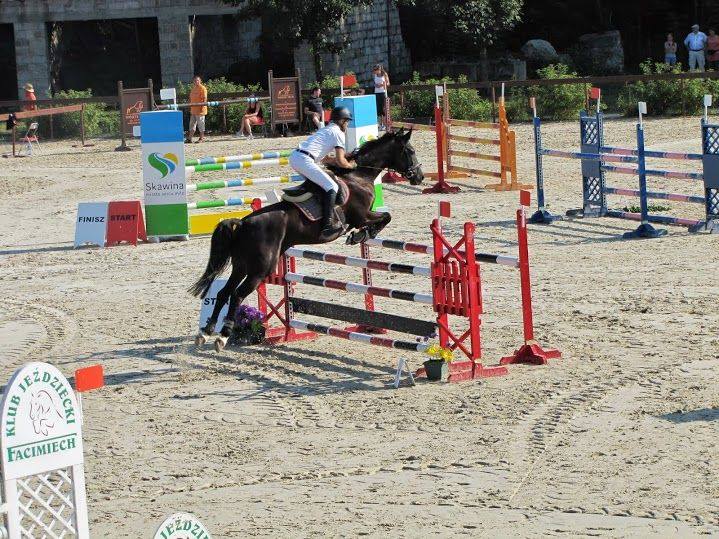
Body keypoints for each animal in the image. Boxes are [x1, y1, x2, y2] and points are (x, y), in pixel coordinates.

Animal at [190, 128, 424, 351]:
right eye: (410, 151)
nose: (419, 177)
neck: (358, 176)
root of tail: (243, 223)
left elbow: (385, 217)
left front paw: (361, 235)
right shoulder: (362, 216)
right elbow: (386, 217)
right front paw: (361, 235)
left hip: (242, 266)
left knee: (224, 293)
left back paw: (206, 332)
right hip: (260, 269)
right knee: (237, 295)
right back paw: (223, 335)